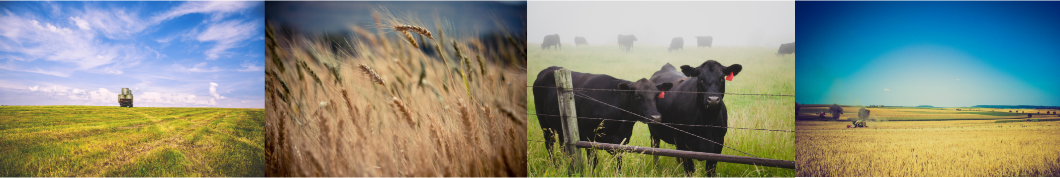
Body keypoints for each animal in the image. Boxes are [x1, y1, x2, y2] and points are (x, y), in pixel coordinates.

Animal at [534, 65, 674, 170]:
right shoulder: (588, 138)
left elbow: (618, 164)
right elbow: (593, 162)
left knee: (563, 145)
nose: (655, 117)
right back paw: (554, 166)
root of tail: (547, 70)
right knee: (549, 144)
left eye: (657, 95)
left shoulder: (621, 142)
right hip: (544, 122)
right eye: (638, 95)